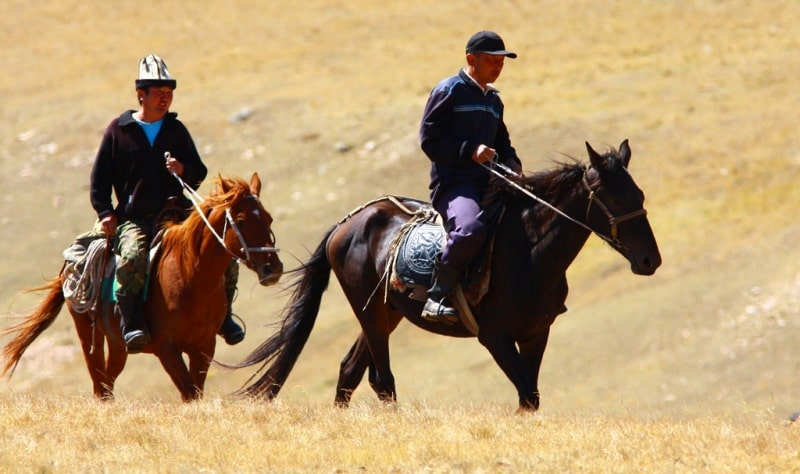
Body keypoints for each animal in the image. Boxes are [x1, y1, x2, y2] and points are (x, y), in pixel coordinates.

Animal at [0, 173, 284, 400]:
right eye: (242, 221)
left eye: (269, 219)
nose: (273, 269)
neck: (191, 277)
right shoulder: (166, 349)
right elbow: (189, 393)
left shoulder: (203, 346)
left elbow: (196, 391)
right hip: (88, 334)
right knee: (99, 383)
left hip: (118, 344)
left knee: (108, 381)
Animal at [231, 141, 664, 412]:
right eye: (616, 198)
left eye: (640, 195)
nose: (650, 260)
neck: (530, 251)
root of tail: (348, 222)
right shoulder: (495, 336)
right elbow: (527, 394)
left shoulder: (536, 333)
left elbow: (531, 396)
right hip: (369, 313)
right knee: (381, 379)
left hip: (386, 312)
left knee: (350, 371)